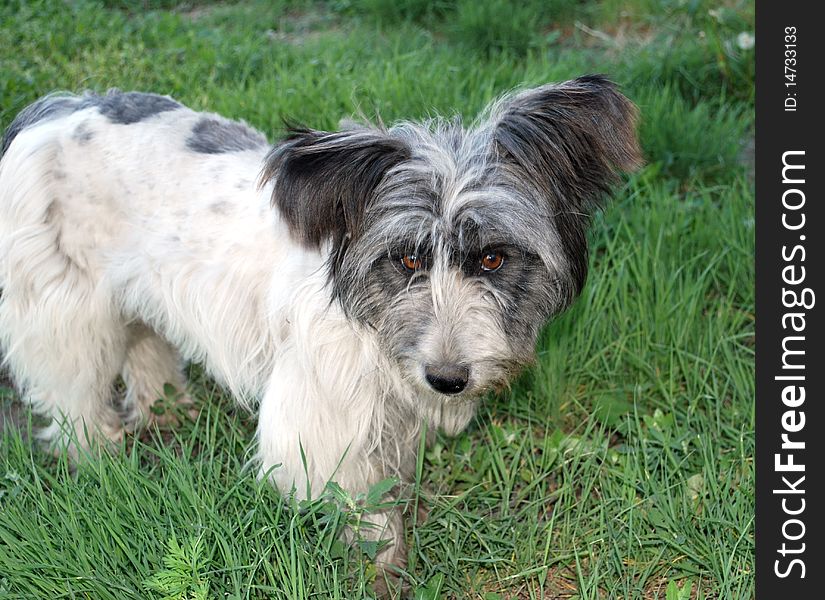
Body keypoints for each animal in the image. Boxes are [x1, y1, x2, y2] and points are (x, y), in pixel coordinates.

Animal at [0, 75, 640, 572]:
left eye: (493, 259)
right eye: (407, 259)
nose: (448, 379)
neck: (371, 322)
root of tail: (55, 109)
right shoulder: (321, 422)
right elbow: (363, 506)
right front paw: (383, 565)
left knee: (144, 345)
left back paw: (168, 410)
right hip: (67, 311)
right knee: (74, 396)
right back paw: (99, 459)